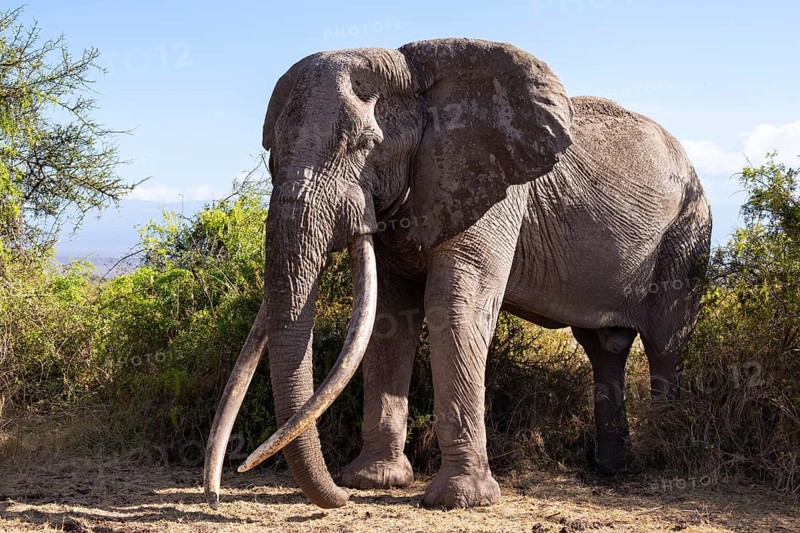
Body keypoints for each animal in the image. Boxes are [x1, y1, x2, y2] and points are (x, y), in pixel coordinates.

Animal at [204, 38, 712, 510]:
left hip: (687, 233)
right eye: (271, 154)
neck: (417, 77)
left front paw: (460, 500)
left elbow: (453, 306)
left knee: (665, 340)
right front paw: (375, 481)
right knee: (604, 347)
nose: (221, 488)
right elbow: (390, 318)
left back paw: (661, 460)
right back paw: (611, 469)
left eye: (365, 145)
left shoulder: (494, 184)